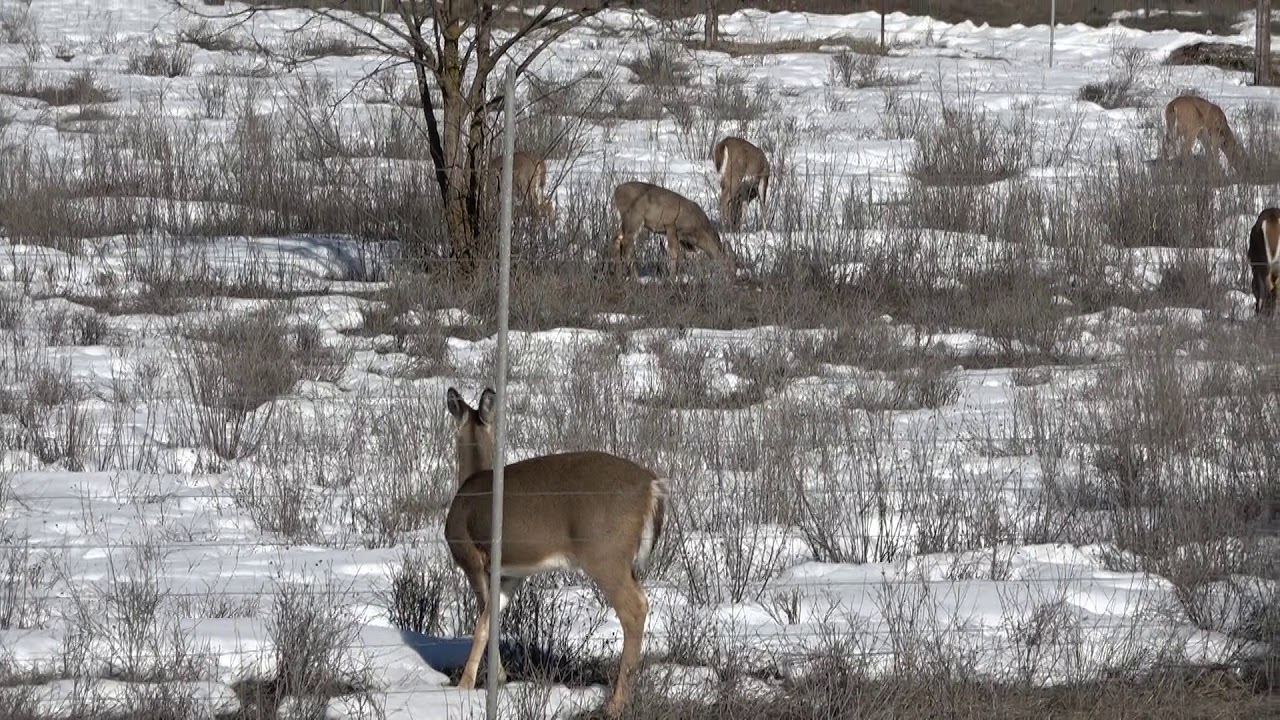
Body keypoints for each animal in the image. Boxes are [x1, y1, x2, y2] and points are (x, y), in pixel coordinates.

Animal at [443, 387, 669, 719]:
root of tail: (652, 487)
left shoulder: (470, 556)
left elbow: (481, 621)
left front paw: (468, 684)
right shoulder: (511, 574)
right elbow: (492, 618)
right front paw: (499, 678)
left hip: (605, 555)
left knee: (634, 608)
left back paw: (616, 704)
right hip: (623, 561)